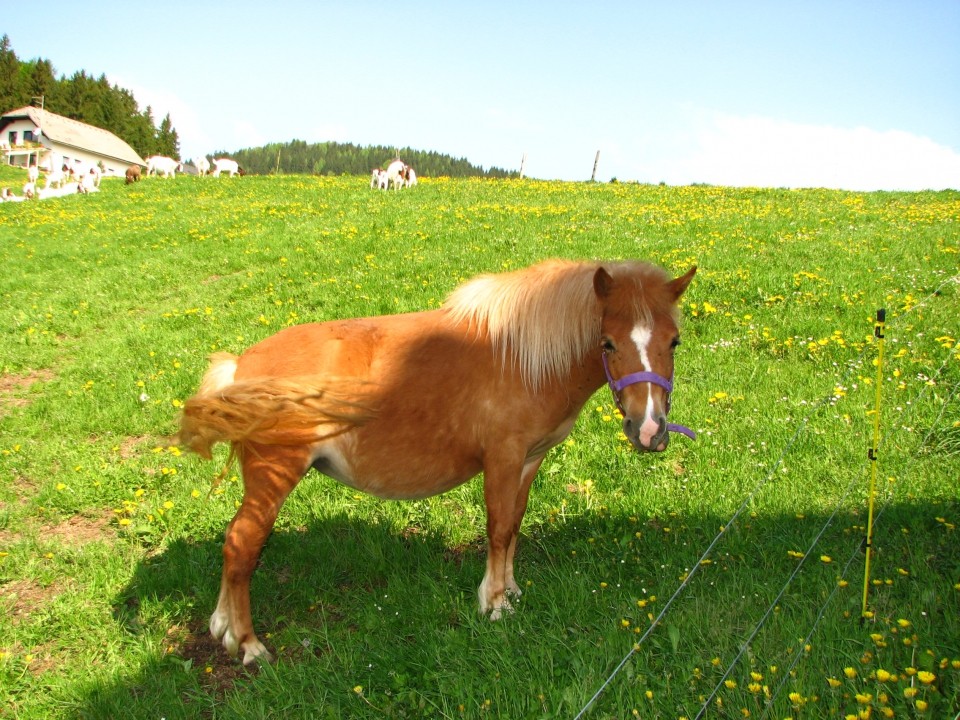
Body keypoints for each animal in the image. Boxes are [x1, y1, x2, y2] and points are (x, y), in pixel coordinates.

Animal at [178, 258, 696, 664]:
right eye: (608, 342)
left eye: (674, 342)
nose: (649, 430)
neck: (519, 356)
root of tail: (241, 368)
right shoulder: (503, 458)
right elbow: (499, 528)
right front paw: (494, 603)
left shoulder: (528, 461)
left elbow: (515, 523)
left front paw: (511, 589)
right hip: (275, 476)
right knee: (242, 544)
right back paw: (248, 644)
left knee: (234, 542)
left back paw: (223, 627)